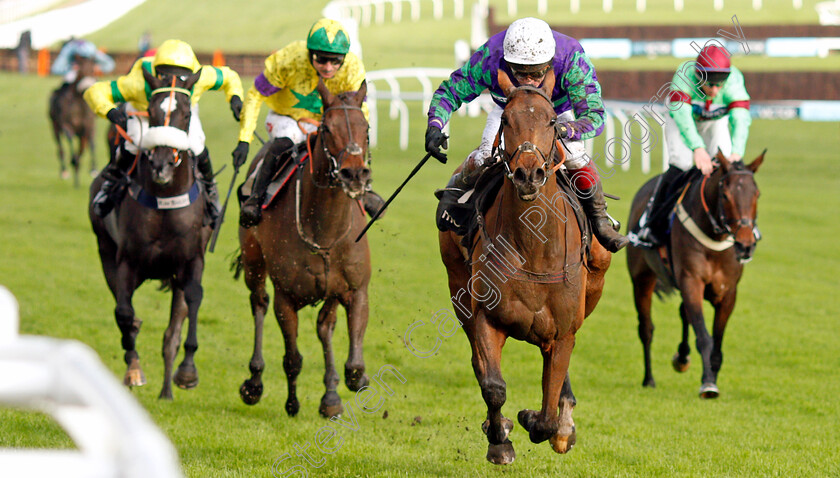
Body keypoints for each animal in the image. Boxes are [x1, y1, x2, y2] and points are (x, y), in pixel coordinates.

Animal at [49, 56, 97, 187]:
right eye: (80, 70)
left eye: (93, 70)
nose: (87, 87)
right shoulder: (66, 124)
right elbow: (70, 138)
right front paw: (74, 162)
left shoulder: (87, 126)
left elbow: (84, 147)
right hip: (54, 126)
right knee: (60, 148)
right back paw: (64, 171)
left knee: (90, 144)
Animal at [88, 67, 210, 400]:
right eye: (153, 113)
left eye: (185, 114)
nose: (161, 165)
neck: (165, 199)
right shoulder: (127, 262)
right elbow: (124, 313)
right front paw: (133, 369)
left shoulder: (191, 260)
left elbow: (192, 302)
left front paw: (188, 371)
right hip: (105, 252)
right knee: (125, 311)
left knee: (171, 333)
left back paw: (168, 390)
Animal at [440, 70, 612, 464]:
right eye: (506, 119)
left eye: (550, 121)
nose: (528, 175)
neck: (534, 248)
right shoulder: (487, 318)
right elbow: (493, 386)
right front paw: (500, 439)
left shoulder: (563, 332)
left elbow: (546, 415)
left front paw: (544, 422)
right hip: (458, 289)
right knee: (478, 362)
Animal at [628, 151, 764, 398]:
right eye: (726, 195)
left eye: (756, 194)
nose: (746, 245)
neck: (714, 239)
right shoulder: (691, 281)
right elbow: (704, 338)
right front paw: (708, 383)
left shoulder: (728, 293)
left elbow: (717, 343)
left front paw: (711, 376)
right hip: (641, 279)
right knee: (646, 329)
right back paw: (649, 378)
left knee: (683, 313)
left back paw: (682, 357)